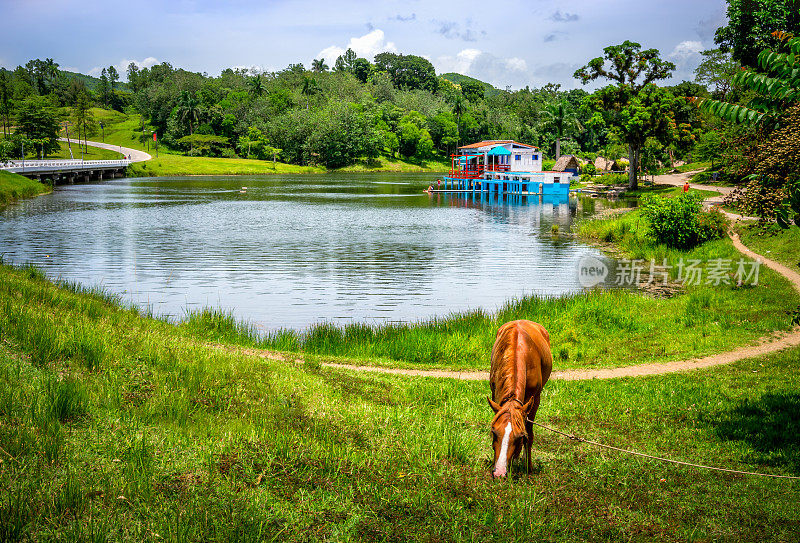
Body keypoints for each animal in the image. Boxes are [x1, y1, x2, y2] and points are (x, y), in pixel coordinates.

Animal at [484, 320, 552, 478]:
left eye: (519, 437)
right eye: (494, 432)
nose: (499, 473)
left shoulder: (534, 401)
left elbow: (530, 434)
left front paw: (528, 467)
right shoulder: (495, 394)